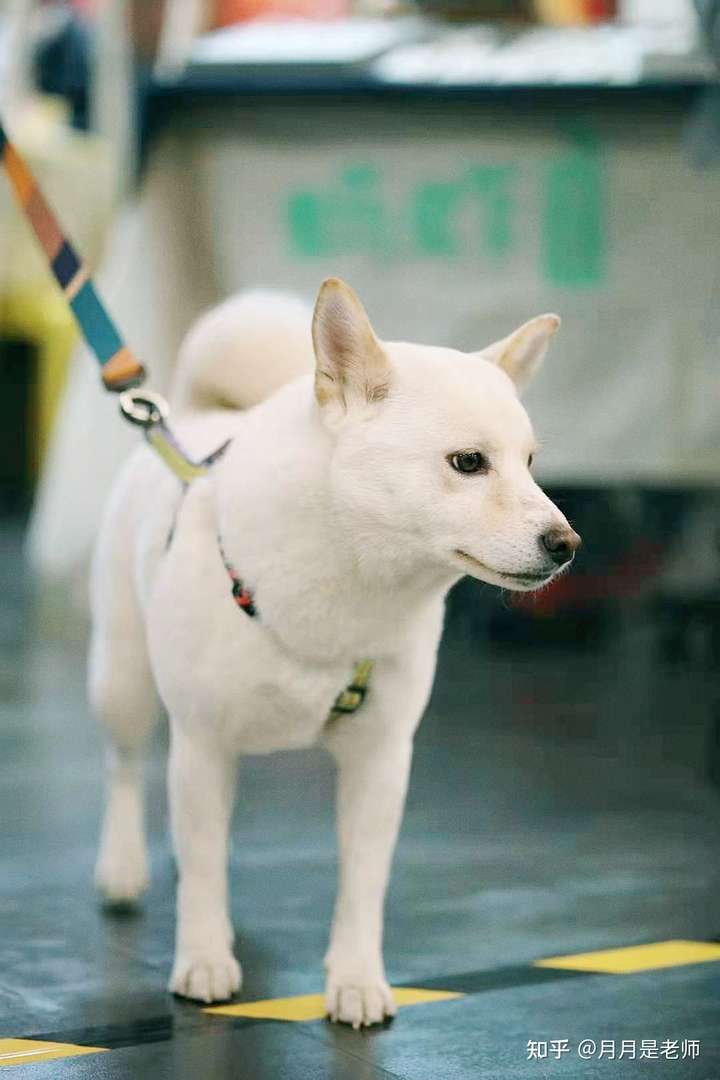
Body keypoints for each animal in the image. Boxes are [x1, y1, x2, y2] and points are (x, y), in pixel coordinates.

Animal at [88, 278, 578, 1028]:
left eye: (530, 464)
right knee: (124, 764)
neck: (349, 587)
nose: (566, 543)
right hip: (124, 681)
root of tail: (193, 417)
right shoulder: (202, 740)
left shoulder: (381, 759)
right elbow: (202, 876)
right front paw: (203, 959)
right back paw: (122, 867)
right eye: (468, 463)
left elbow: (362, 884)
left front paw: (356, 980)